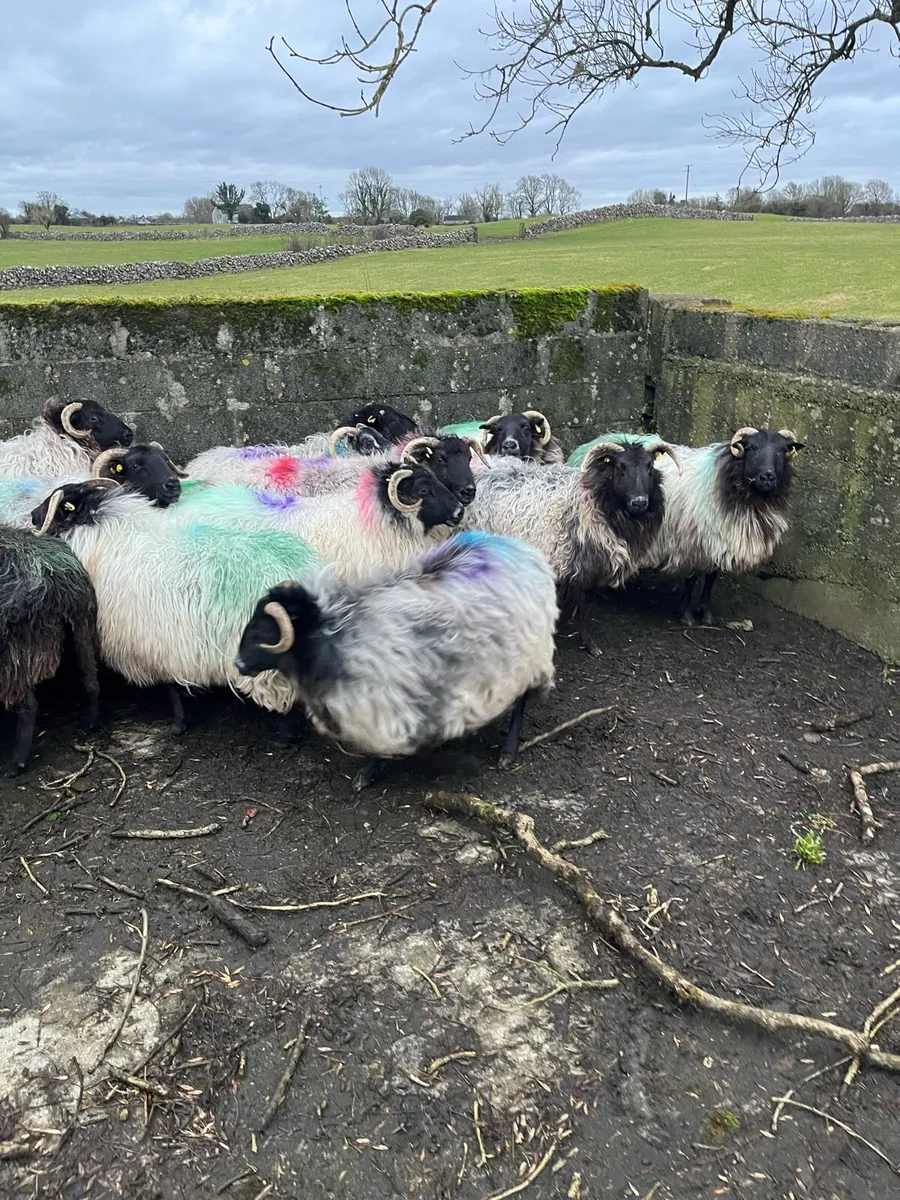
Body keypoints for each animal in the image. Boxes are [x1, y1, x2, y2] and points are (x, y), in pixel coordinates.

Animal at [0, 525, 100, 775]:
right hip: (83, 627)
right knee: (91, 681)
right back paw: (91, 722)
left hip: (16, 652)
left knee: (28, 708)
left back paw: (16, 764)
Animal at [31, 481, 323, 731]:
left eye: (57, 505)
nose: (33, 515)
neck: (107, 535)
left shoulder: (154, 640)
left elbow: (170, 686)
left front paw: (178, 723)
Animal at [235, 530, 558, 789]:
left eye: (262, 629)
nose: (238, 664)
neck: (332, 635)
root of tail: (527, 552)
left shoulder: (385, 702)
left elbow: (382, 746)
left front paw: (367, 774)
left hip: (532, 655)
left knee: (523, 700)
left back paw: (508, 751)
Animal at [568, 427, 804, 624]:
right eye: (752, 447)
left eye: (783, 450)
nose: (767, 477)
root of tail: (592, 443)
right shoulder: (693, 542)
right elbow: (691, 580)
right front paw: (686, 615)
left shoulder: (719, 540)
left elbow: (711, 579)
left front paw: (706, 613)